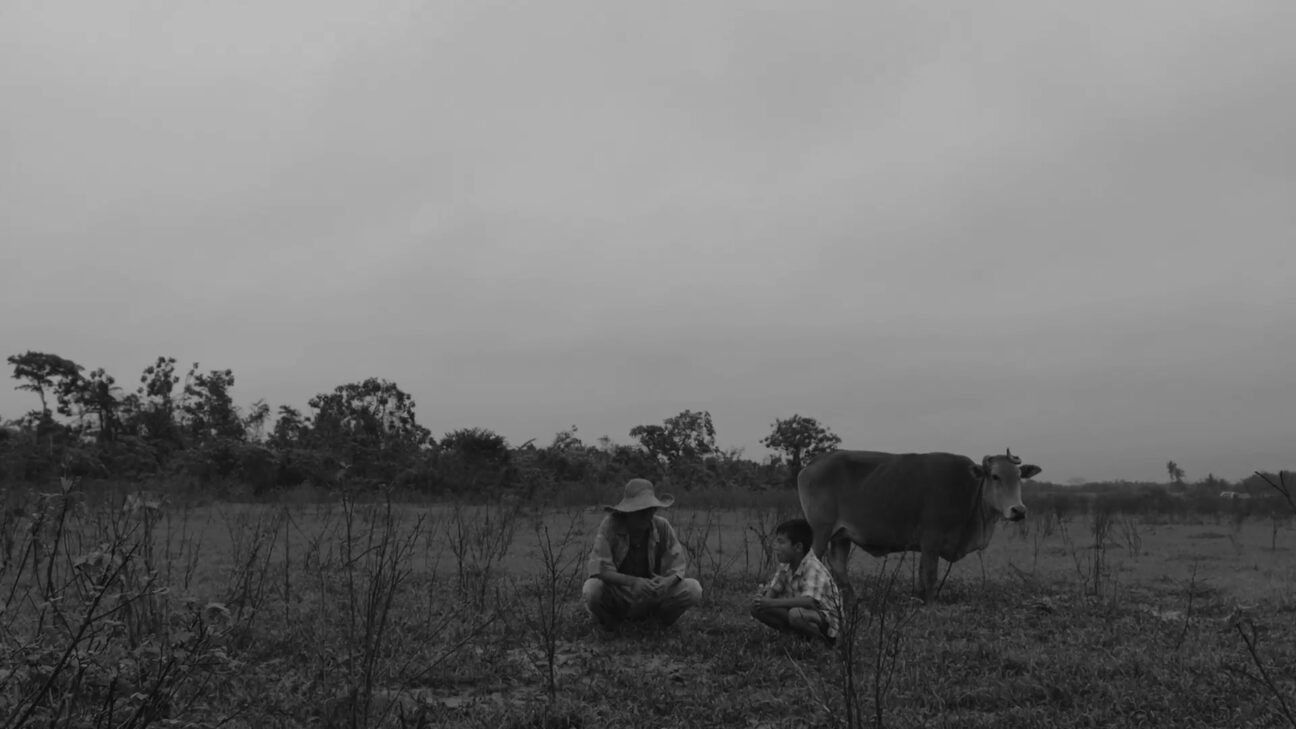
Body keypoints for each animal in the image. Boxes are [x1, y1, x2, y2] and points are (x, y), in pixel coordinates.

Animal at [797, 448, 1041, 603]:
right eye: (995, 476)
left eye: (1019, 476)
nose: (1019, 510)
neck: (970, 491)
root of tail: (813, 464)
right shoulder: (932, 540)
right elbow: (931, 576)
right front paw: (931, 605)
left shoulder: (926, 546)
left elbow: (923, 574)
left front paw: (920, 598)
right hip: (821, 532)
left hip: (841, 536)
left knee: (838, 565)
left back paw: (852, 599)